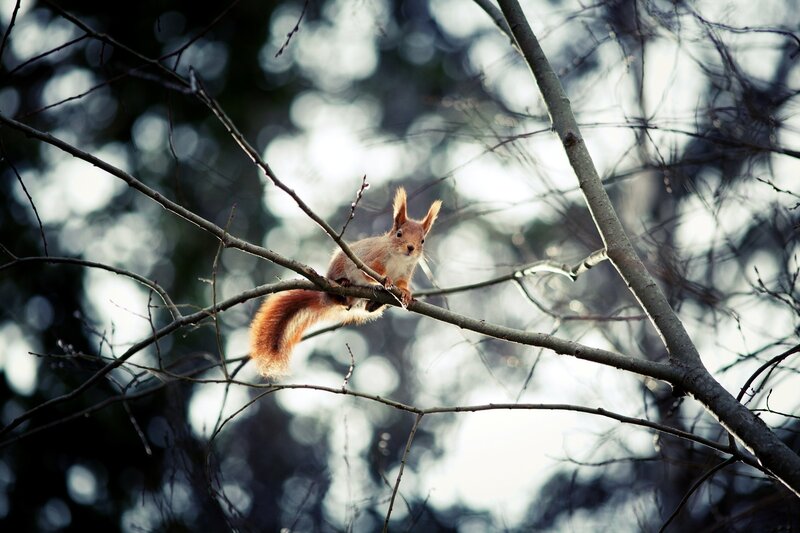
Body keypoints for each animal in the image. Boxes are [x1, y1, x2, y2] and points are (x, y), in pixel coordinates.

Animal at [250, 187, 442, 377]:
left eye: (422, 240)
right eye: (399, 234)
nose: (410, 248)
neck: (399, 259)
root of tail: (327, 297)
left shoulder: (405, 273)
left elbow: (402, 284)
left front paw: (406, 294)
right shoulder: (370, 260)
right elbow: (371, 273)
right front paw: (385, 280)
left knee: (365, 308)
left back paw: (373, 304)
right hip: (338, 269)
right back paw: (343, 283)